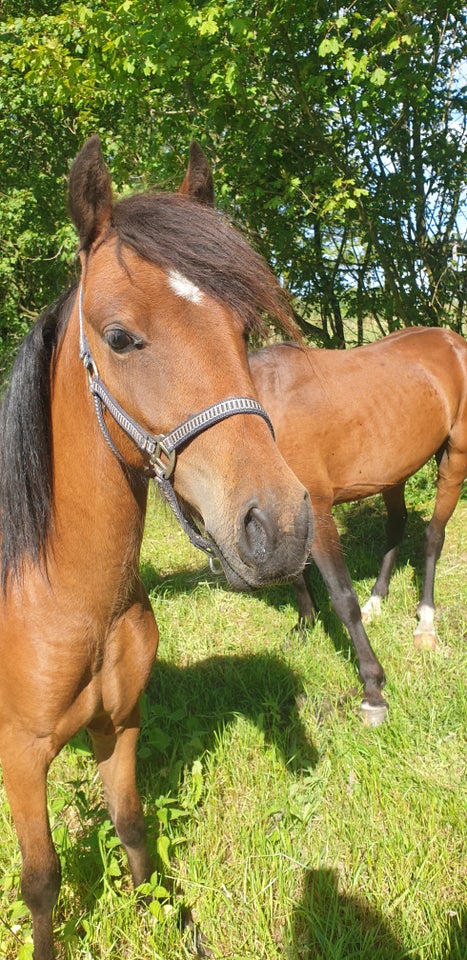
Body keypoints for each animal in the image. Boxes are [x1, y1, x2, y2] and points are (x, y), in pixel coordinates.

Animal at [0, 137, 314, 960]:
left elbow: (135, 831)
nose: (279, 526)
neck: (64, 598)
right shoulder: (21, 757)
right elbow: (41, 881)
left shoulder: (121, 726)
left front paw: (171, 924)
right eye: (119, 337)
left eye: (244, 329)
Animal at [250, 332, 467, 728]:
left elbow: (342, 597)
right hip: (394, 471)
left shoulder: (317, 511)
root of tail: (452, 340)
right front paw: (304, 628)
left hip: (455, 460)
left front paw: (372, 690)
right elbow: (297, 575)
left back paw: (426, 622)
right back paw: (377, 600)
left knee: (433, 537)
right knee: (396, 527)